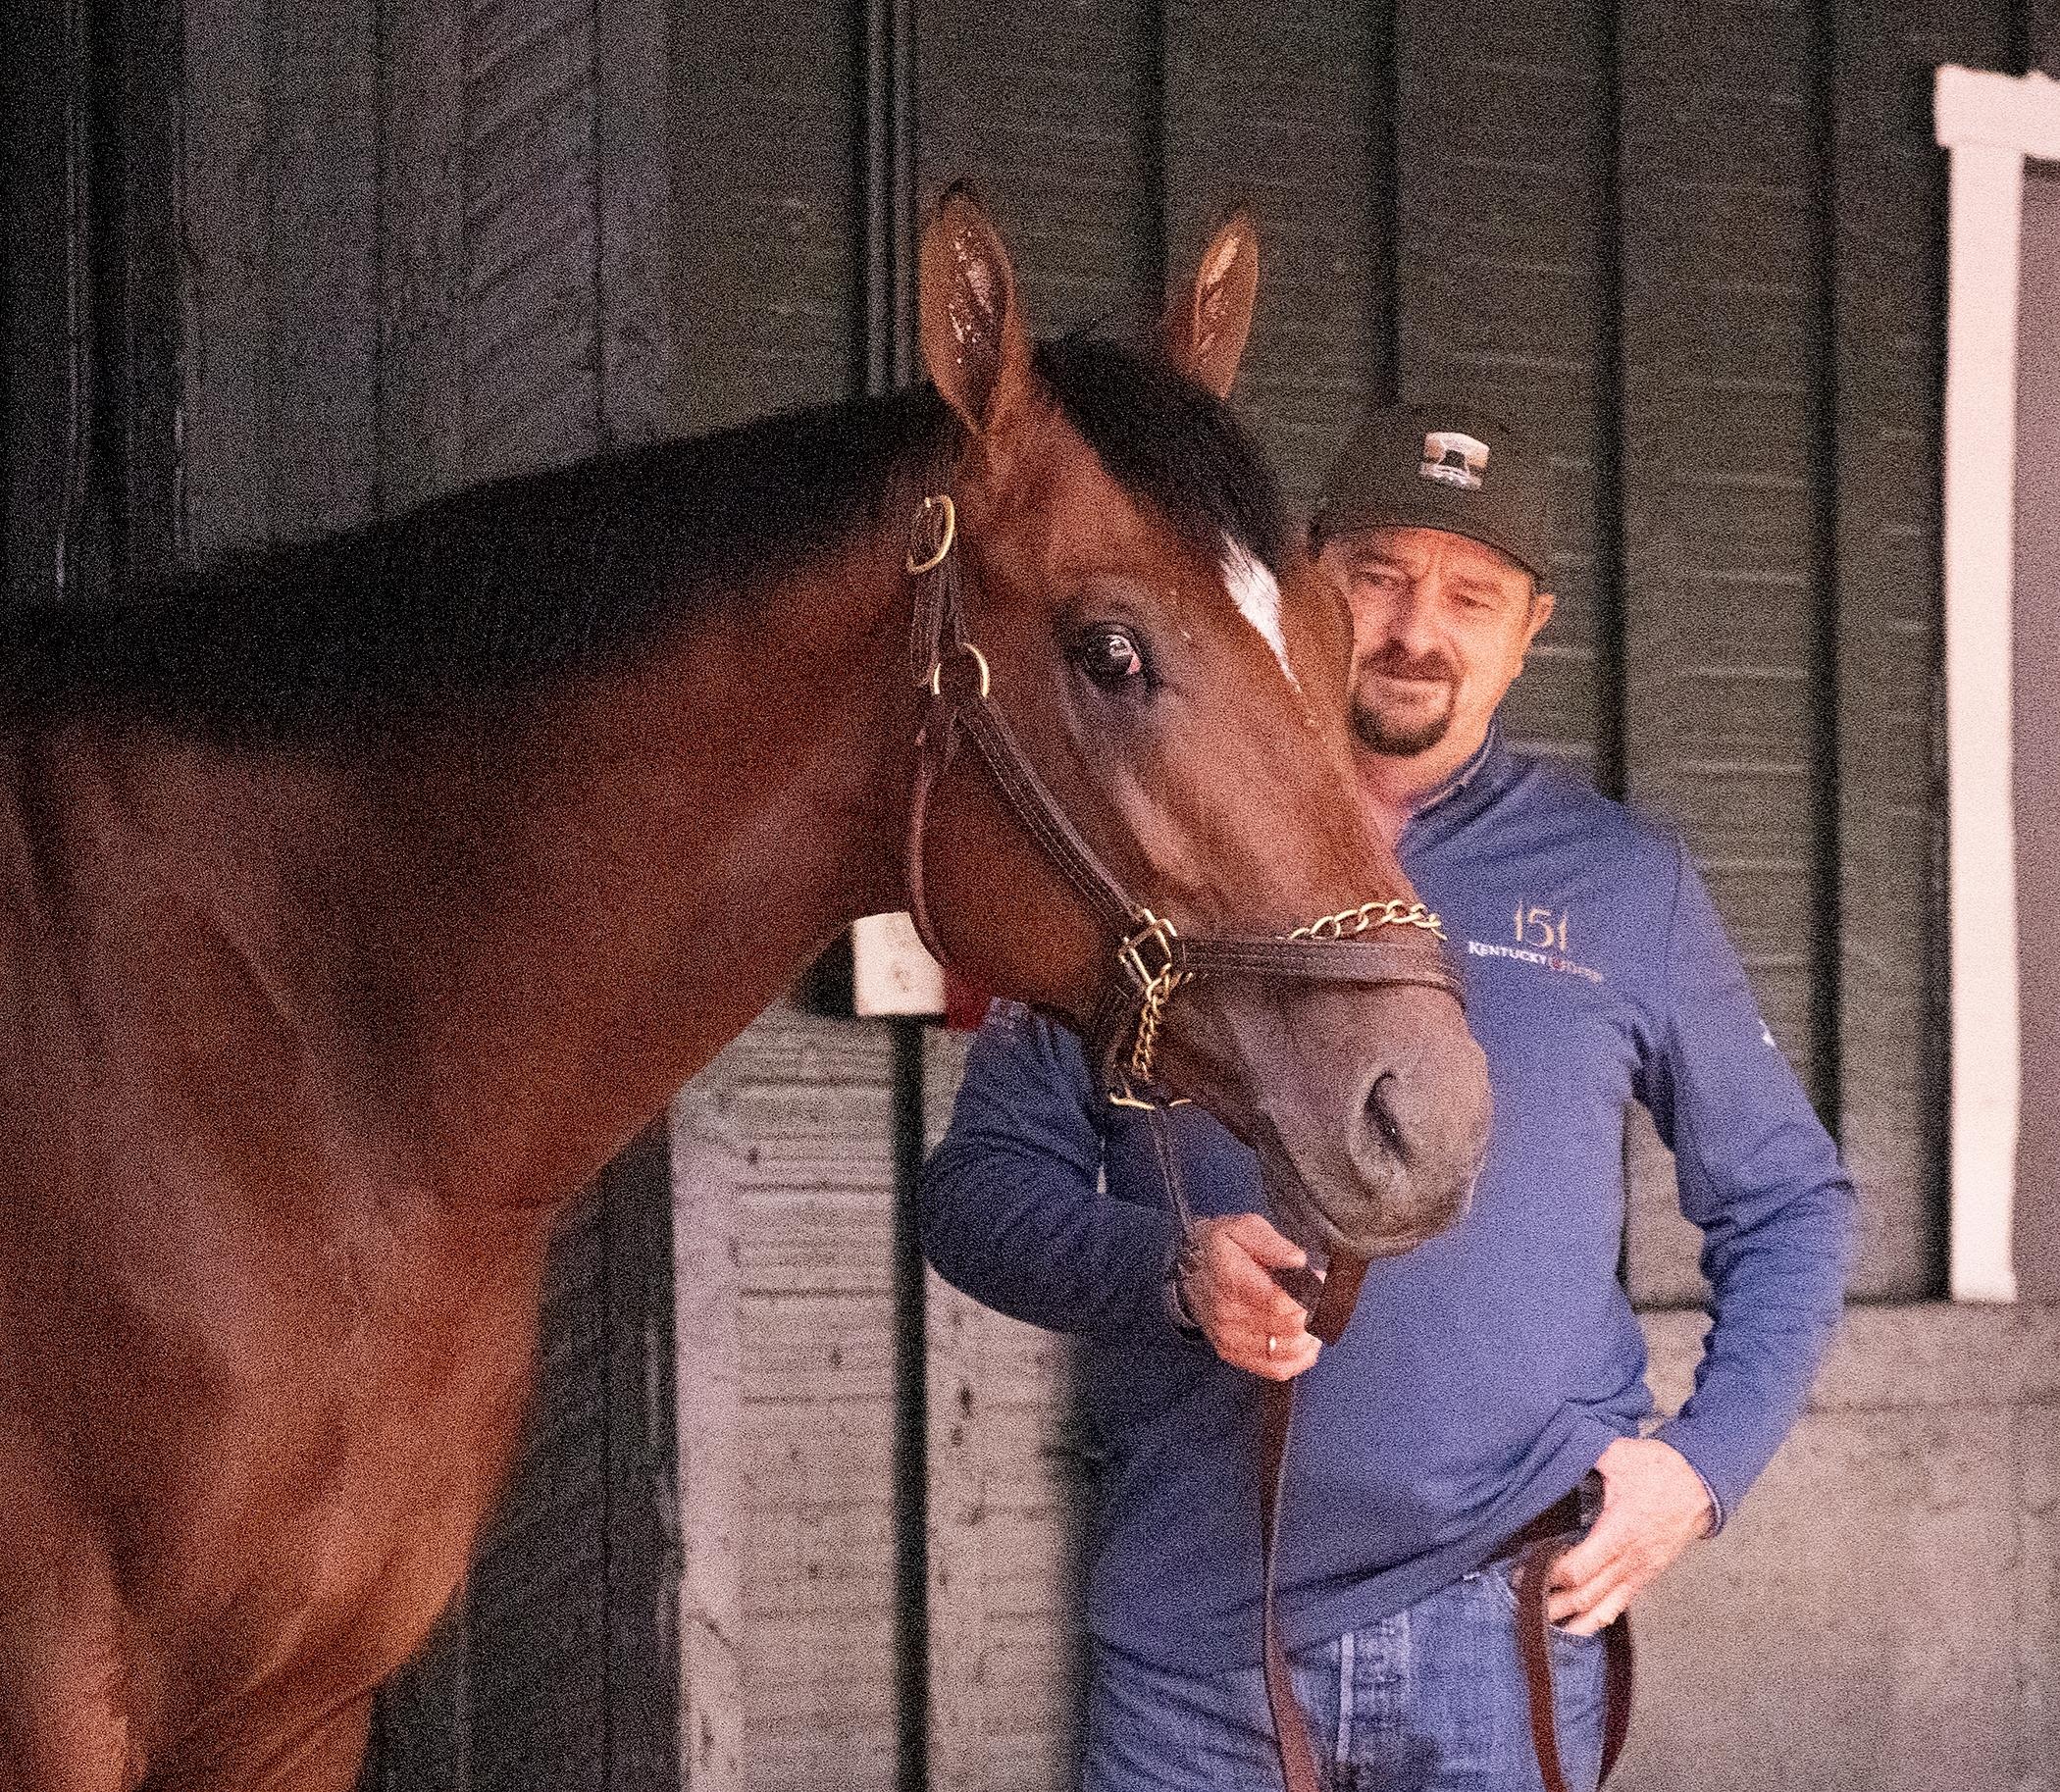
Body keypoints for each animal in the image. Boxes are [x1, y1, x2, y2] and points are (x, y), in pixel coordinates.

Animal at [0, 184, 1489, 1792]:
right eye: (1110, 650)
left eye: (1338, 639)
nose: (1432, 1113)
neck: (300, 1058)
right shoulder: (56, 1697)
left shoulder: (298, 1714)